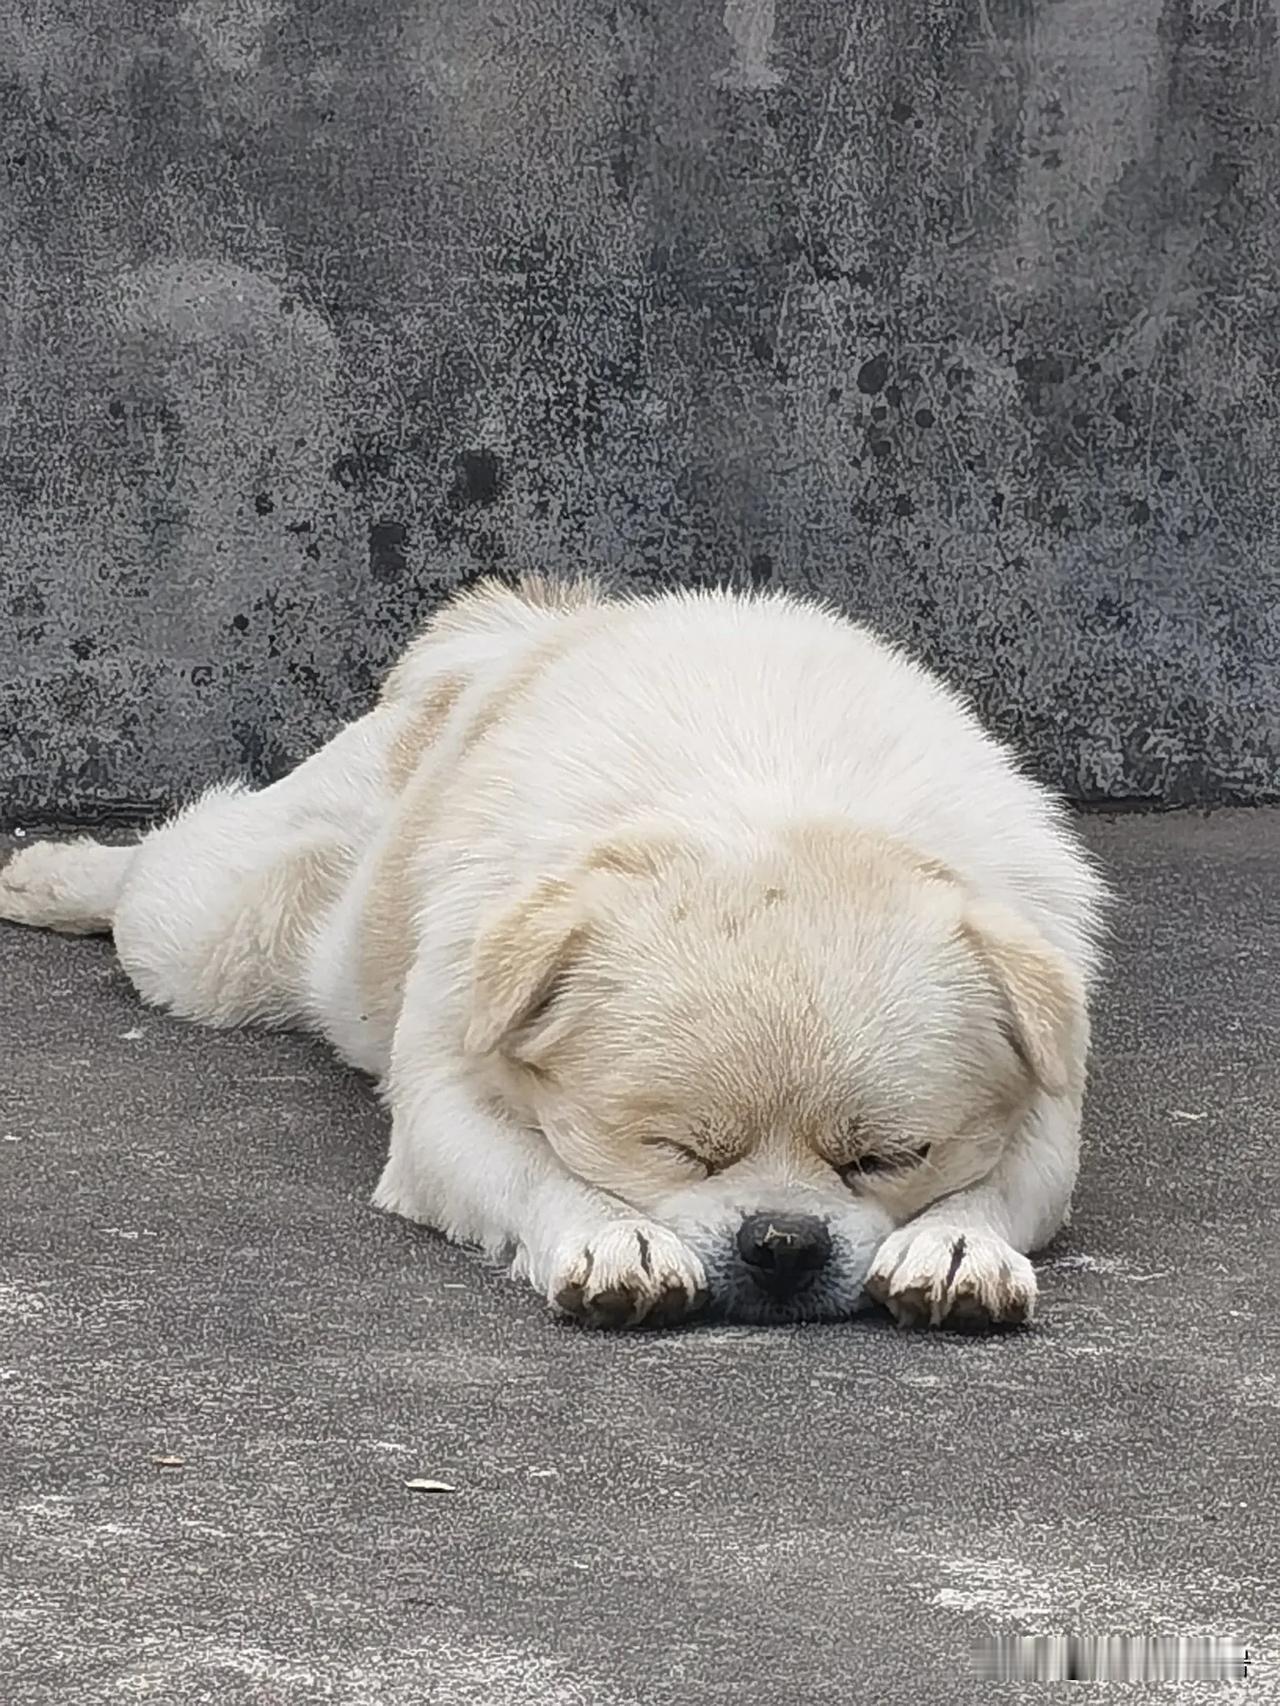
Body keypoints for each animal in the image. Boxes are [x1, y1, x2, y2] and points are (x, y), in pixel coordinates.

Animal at [0, 580, 1105, 1323]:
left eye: (886, 1158)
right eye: (673, 1149)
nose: (782, 1241)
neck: (772, 798)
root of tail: (522, 631)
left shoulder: (1048, 1111)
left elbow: (1000, 1185)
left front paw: (955, 1243)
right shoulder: (446, 1106)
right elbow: (539, 1171)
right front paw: (616, 1235)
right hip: (220, 933)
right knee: (164, 873)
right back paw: (52, 875)